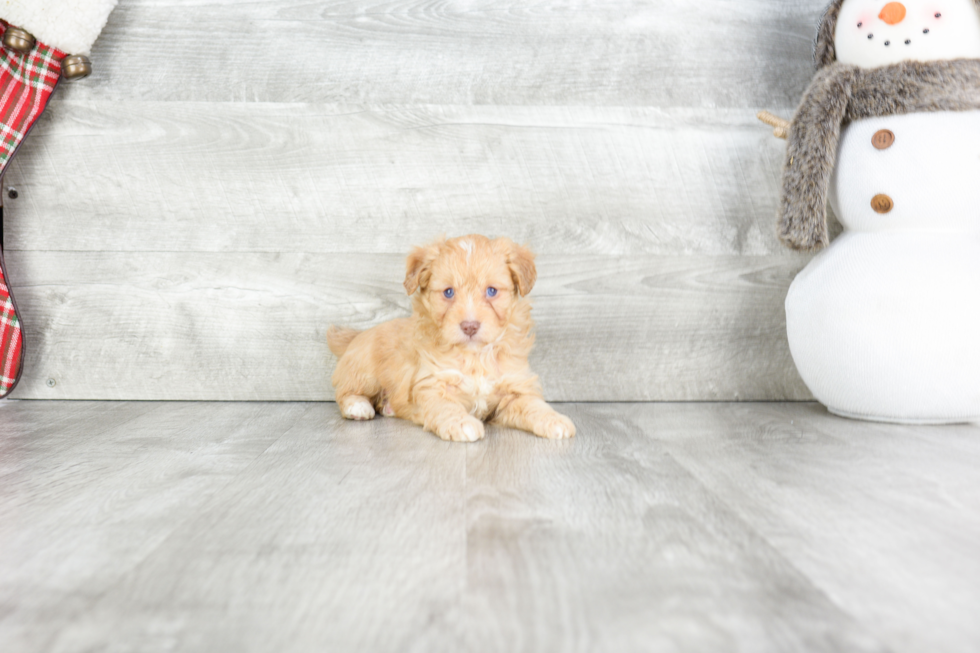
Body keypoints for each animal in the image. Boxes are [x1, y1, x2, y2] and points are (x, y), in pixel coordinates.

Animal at [330, 234, 576, 444]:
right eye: (448, 292)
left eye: (492, 291)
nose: (469, 326)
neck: (475, 356)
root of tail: (357, 335)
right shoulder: (432, 383)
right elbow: (446, 406)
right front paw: (462, 423)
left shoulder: (513, 387)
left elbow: (533, 405)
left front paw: (554, 419)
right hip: (364, 371)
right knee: (344, 392)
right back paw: (358, 406)